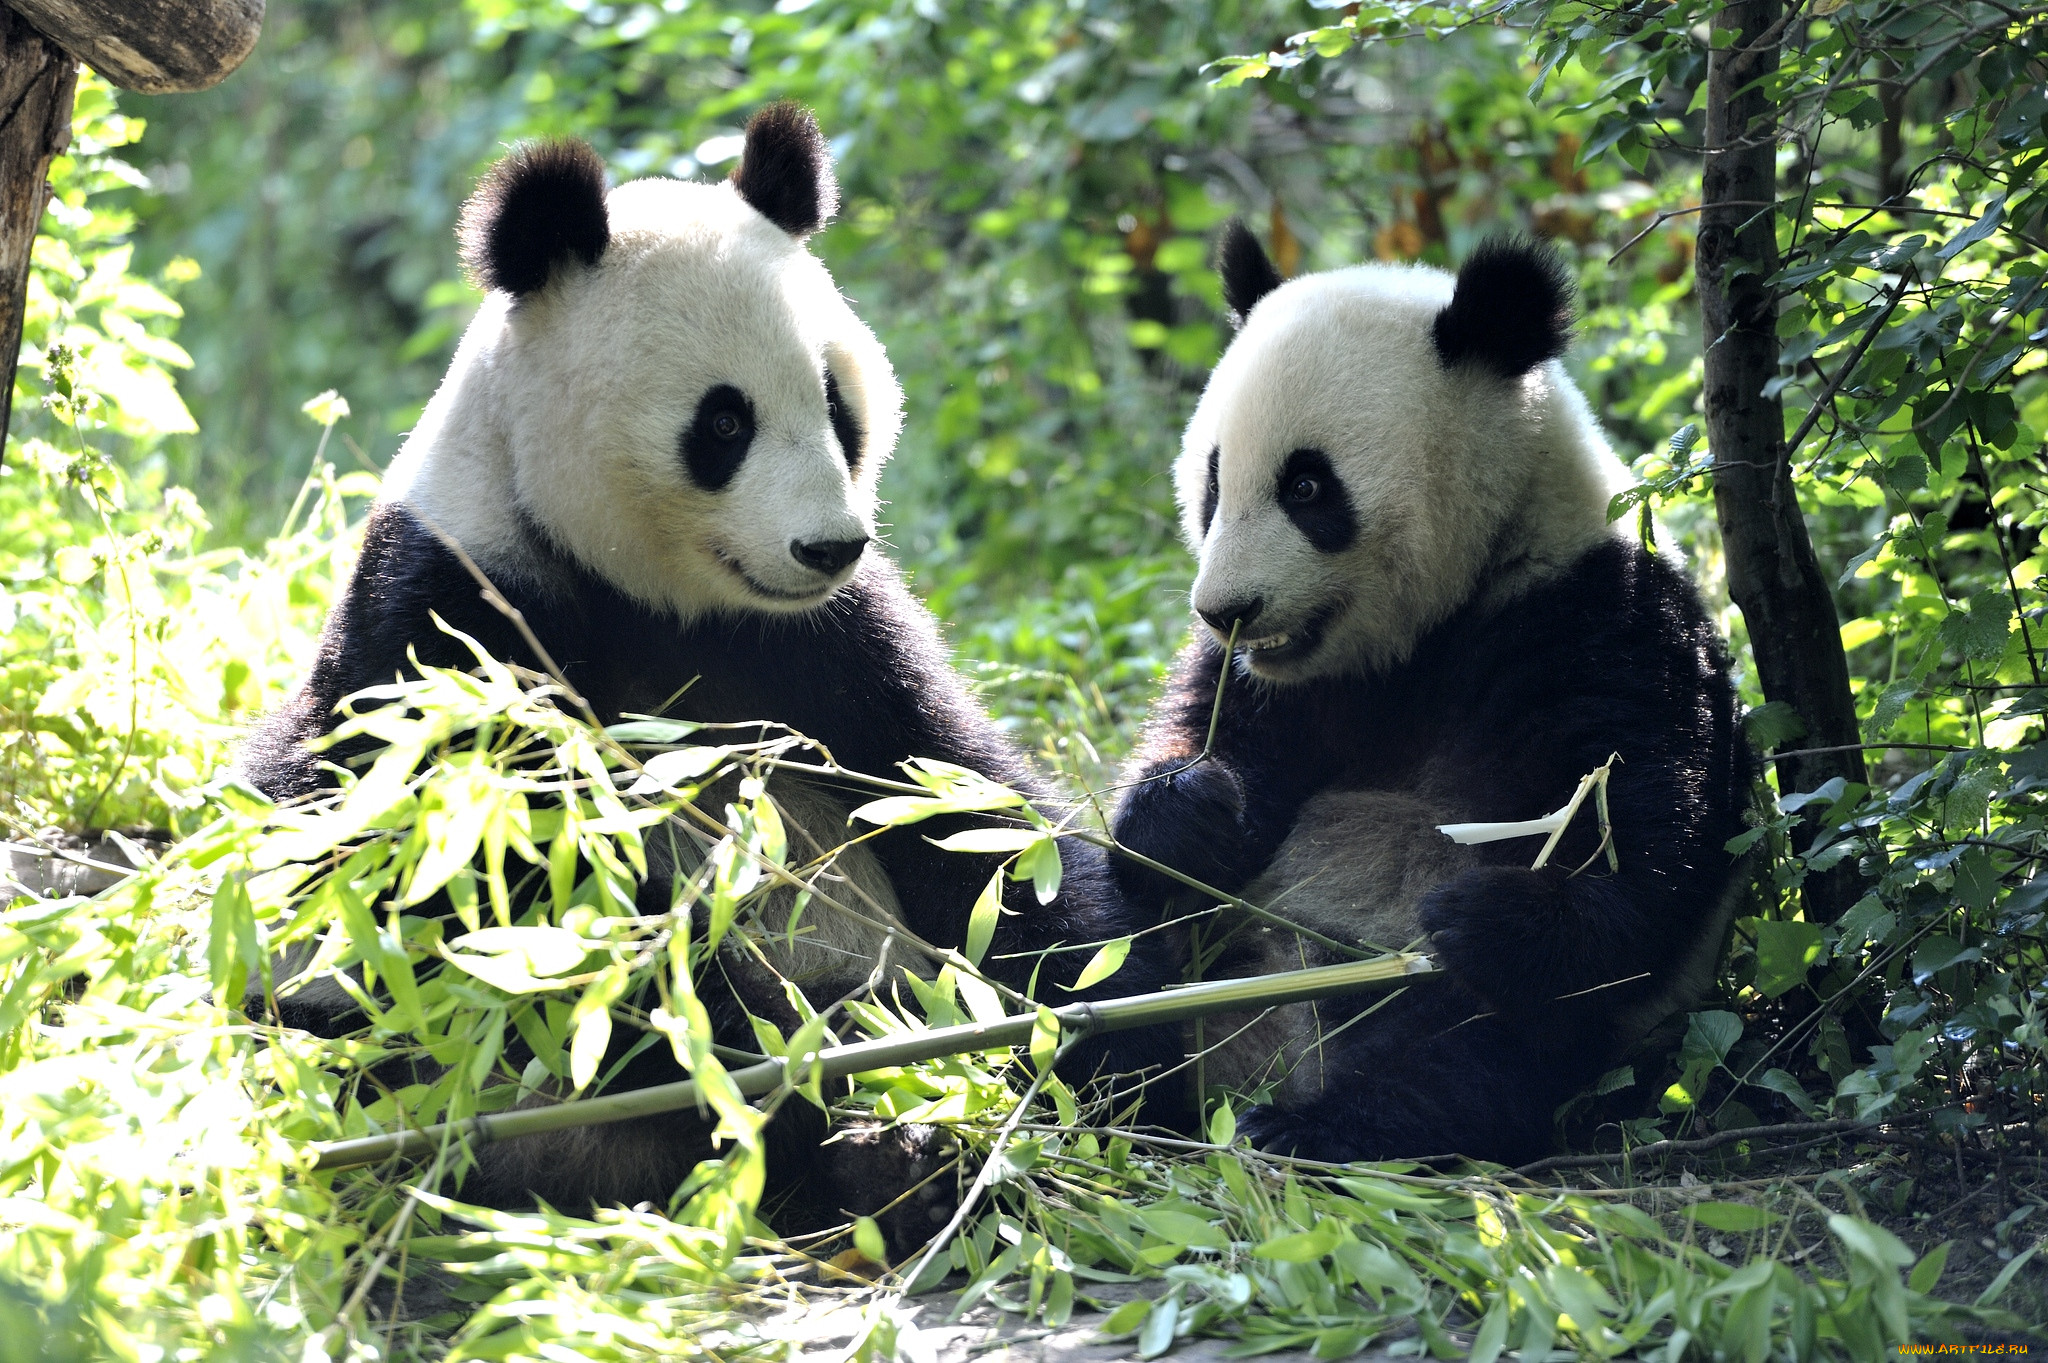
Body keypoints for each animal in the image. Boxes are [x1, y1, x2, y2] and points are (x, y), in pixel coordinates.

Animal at [1114, 228, 1753, 1162]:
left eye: (1307, 486)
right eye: (1213, 480)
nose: (1225, 609)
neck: (1427, 628)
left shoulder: (1591, 617)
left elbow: (1643, 833)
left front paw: (1486, 919)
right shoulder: (1284, 687)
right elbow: (1205, 744)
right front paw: (1186, 810)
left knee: (1470, 1055)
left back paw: (1319, 1122)